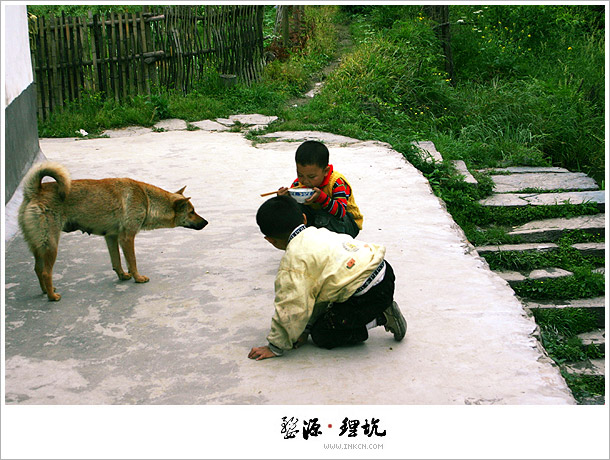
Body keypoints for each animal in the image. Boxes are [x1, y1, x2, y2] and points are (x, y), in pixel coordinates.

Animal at [17, 163, 208, 302]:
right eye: (191, 212)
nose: (206, 222)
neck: (147, 200)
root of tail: (35, 191)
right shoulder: (127, 238)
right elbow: (132, 261)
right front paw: (137, 278)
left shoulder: (111, 237)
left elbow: (116, 261)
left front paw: (123, 276)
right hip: (51, 245)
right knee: (45, 272)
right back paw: (52, 296)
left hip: (39, 245)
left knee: (37, 269)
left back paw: (45, 291)